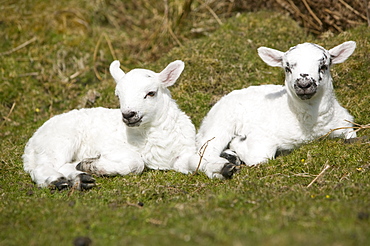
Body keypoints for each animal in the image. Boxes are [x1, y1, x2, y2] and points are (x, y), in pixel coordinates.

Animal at [23, 60, 201, 190]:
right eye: (118, 96)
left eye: (151, 93)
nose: (128, 115)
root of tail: (31, 144)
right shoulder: (112, 147)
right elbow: (137, 162)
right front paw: (95, 166)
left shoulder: (182, 153)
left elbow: (194, 161)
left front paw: (88, 165)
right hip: (59, 140)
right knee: (44, 166)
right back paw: (57, 181)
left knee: (63, 165)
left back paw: (80, 178)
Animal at [198, 40, 356, 179]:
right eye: (287, 68)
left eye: (323, 66)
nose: (304, 84)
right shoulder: (260, 135)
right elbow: (260, 156)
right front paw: (237, 143)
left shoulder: (345, 125)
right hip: (221, 122)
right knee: (204, 151)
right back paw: (223, 168)